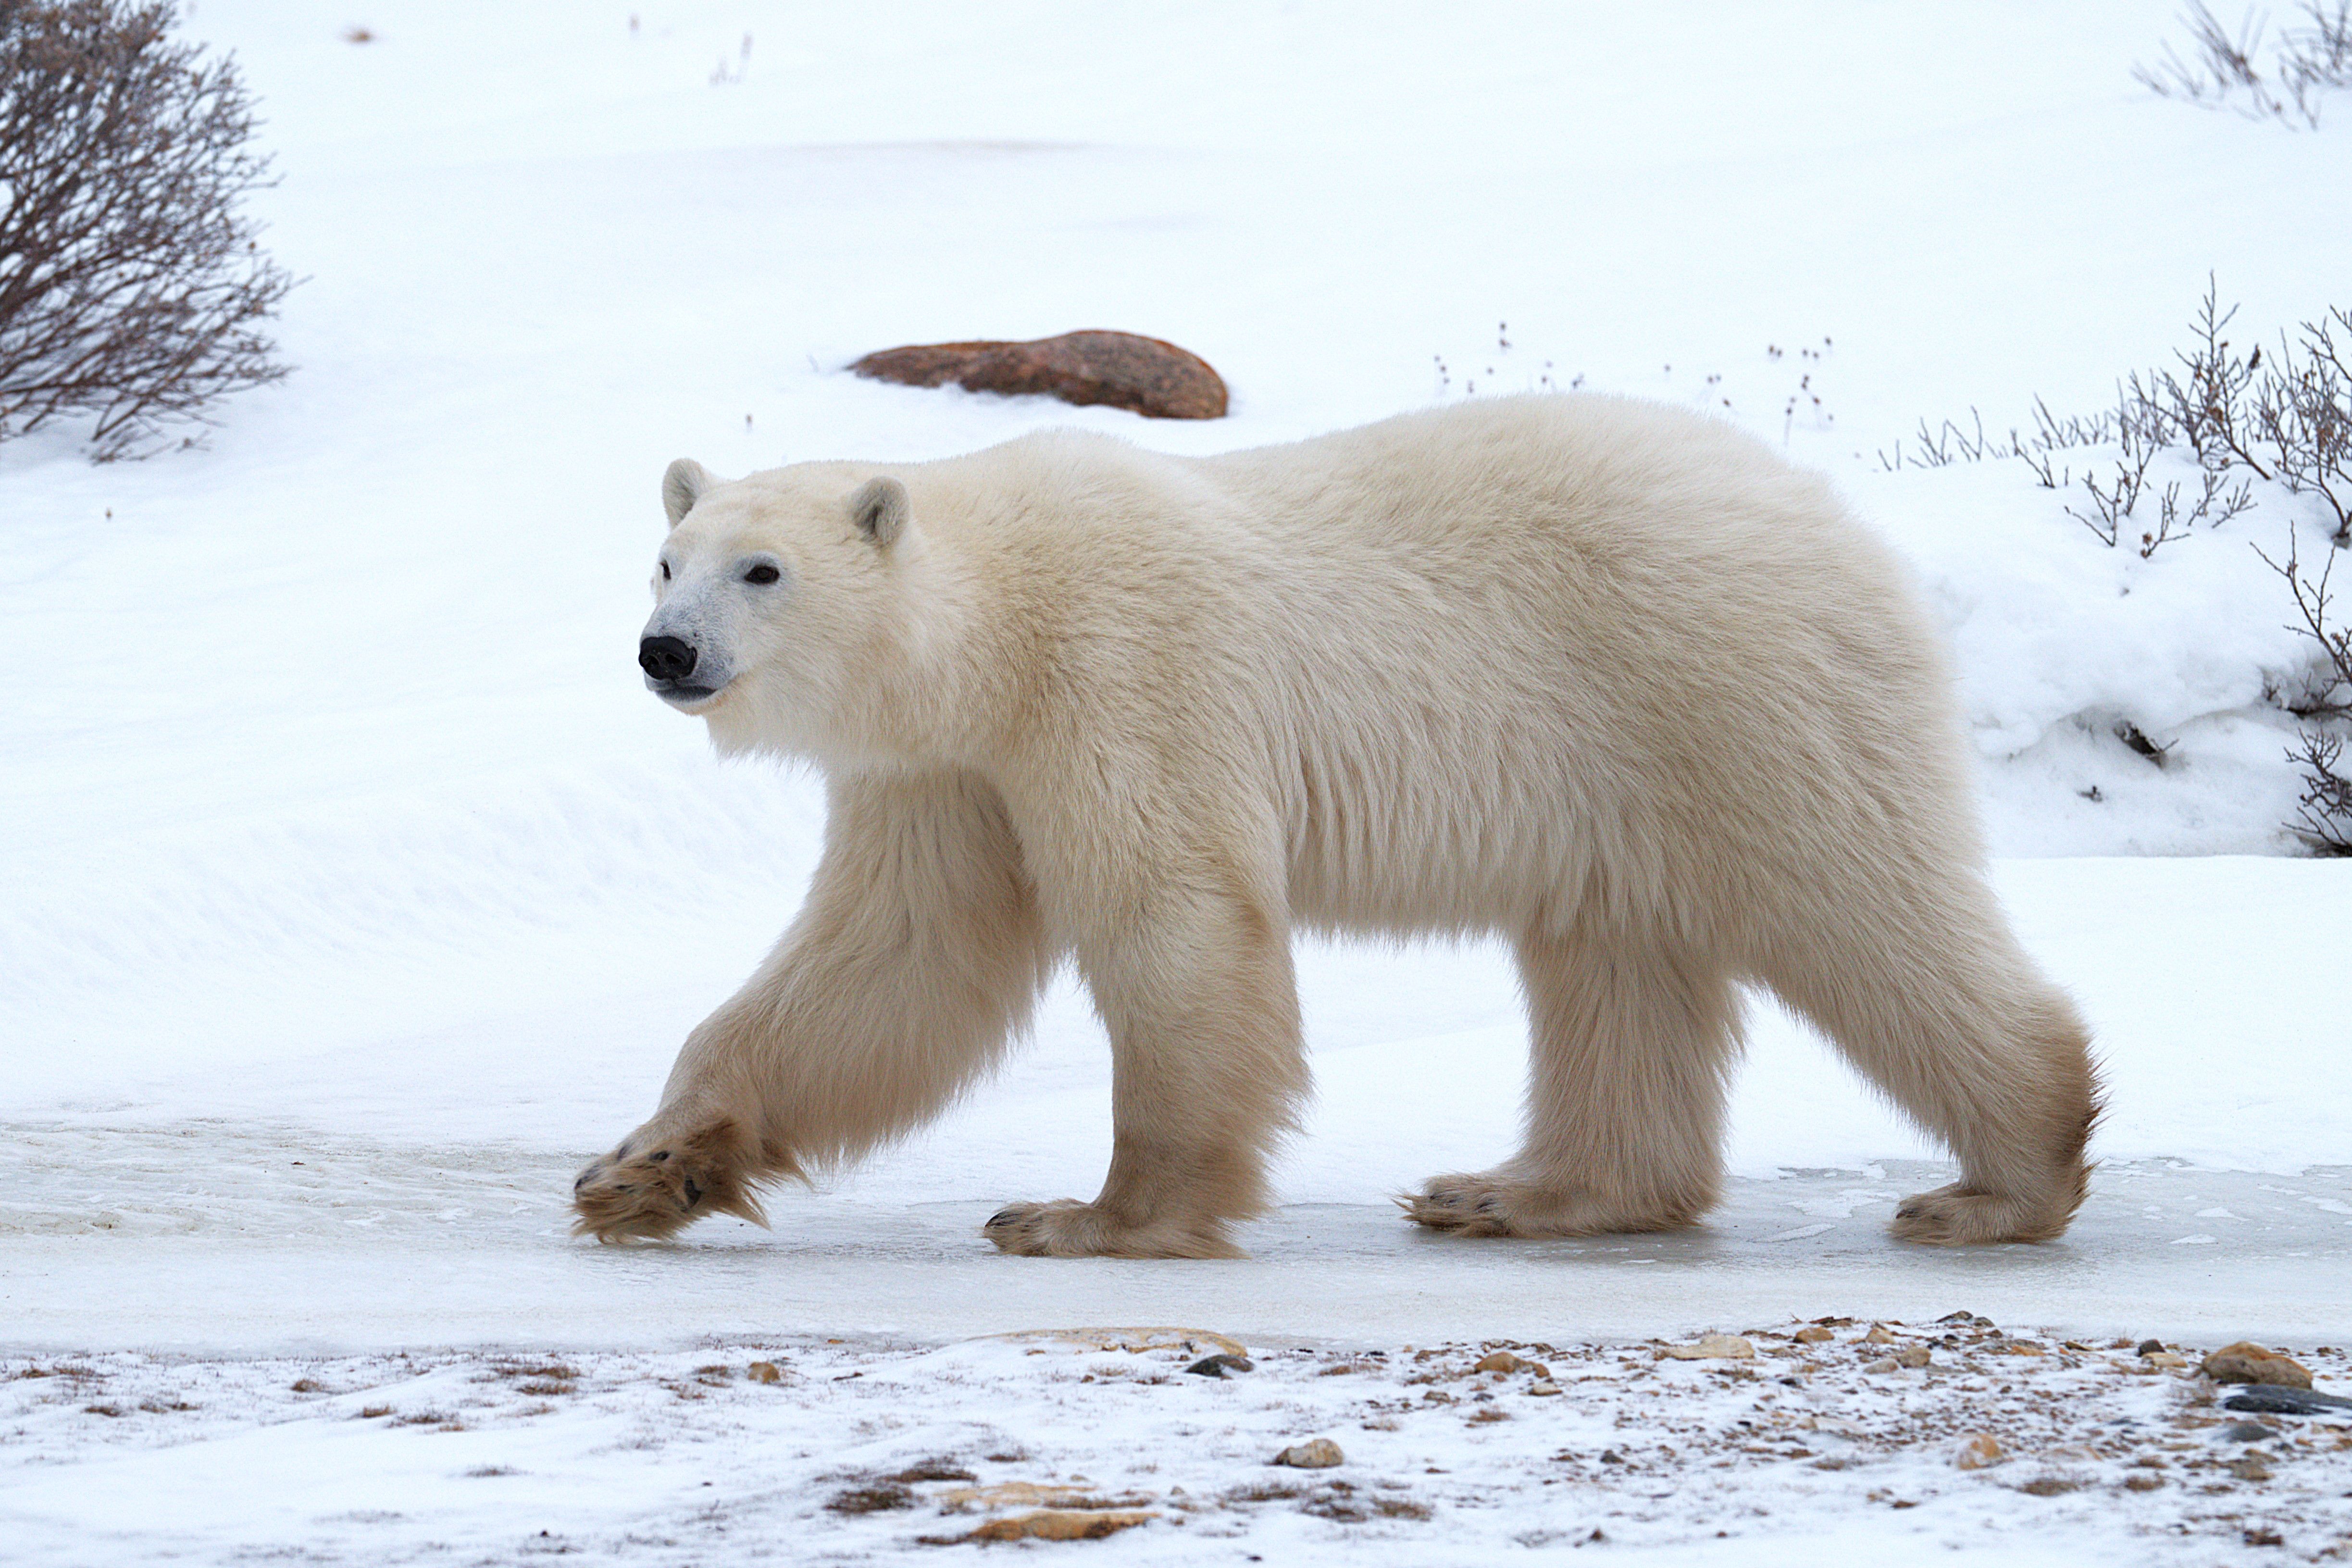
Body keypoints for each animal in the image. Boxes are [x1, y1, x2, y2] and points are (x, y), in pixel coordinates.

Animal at [572, 393, 2100, 1258]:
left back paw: (1996, 1182)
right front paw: (643, 1168)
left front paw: (1090, 1217)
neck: (998, 625)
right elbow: (893, 960)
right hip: (1622, 771)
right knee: (1617, 964)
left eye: (762, 570)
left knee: (1855, 900)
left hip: (1718, 684)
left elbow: (1177, 922)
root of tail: (1838, 521)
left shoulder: (1116, 681)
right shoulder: (948, 773)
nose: (664, 651)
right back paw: (1517, 1192)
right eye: (664, 557)